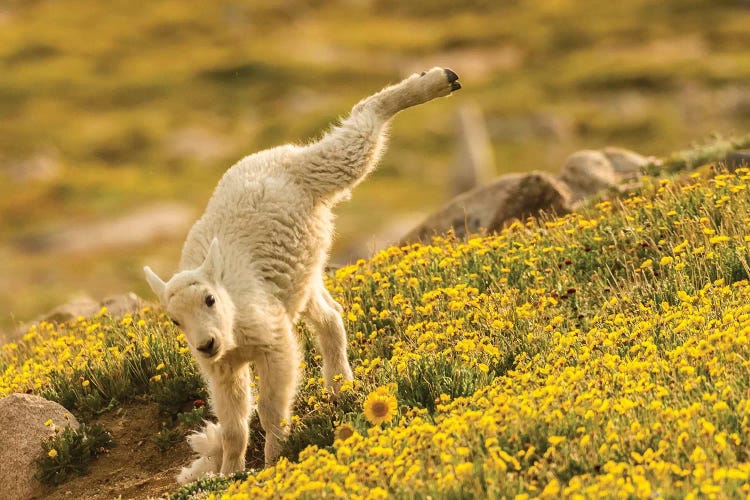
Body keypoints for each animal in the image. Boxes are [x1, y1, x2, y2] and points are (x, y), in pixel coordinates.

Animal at [140, 68, 458, 482]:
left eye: (209, 299)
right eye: (174, 320)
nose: (205, 344)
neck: (233, 325)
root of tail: (288, 155)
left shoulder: (272, 339)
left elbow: (271, 406)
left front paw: (274, 457)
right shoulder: (221, 369)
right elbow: (233, 425)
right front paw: (229, 471)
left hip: (329, 167)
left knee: (359, 129)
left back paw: (438, 80)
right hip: (301, 277)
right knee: (330, 314)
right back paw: (340, 385)